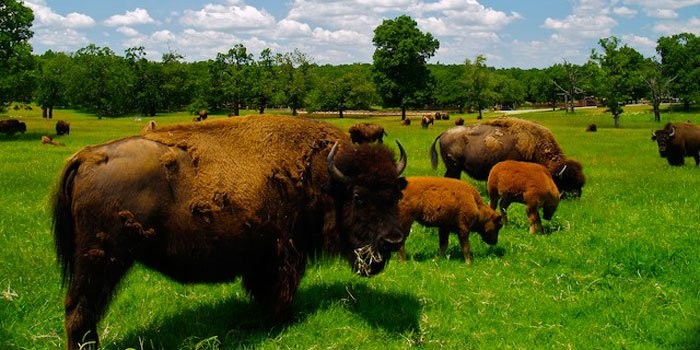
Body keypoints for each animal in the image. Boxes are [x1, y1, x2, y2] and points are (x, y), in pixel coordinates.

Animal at [54, 115, 410, 350]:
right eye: (359, 197)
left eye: (395, 194)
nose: (393, 240)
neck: (323, 177)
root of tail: (86, 156)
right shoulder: (284, 254)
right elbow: (281, 290)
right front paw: (280, 321)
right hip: (101, 259)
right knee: (80, 308)